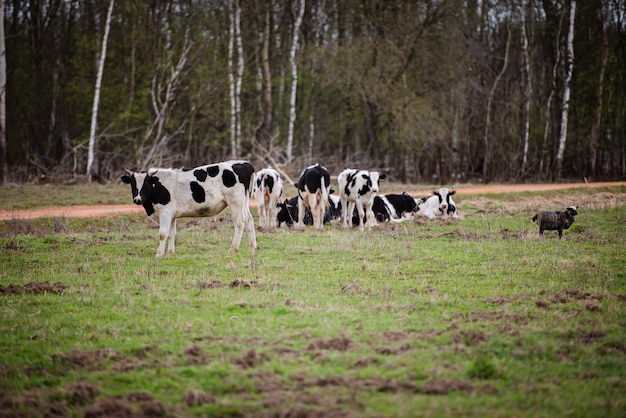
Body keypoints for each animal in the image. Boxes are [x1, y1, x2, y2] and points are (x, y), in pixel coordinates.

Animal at [119, 161, 256, 256]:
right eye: (132, 184)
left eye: (146, 184)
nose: (137, 199)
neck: (158, 187)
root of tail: (245, 164)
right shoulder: (172, 215)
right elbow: (171, 234)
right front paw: (170, 253)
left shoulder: (165, 212)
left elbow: (163, 234)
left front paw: (159, 254)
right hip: (244, 202)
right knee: (249, 220)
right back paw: (252, 248)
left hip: (235, 202)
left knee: (240, 222)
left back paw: (233, 249)